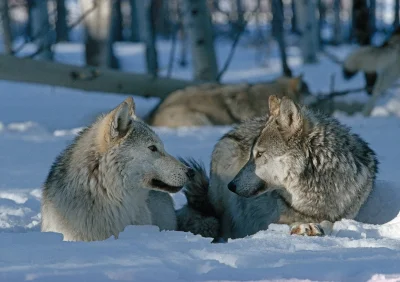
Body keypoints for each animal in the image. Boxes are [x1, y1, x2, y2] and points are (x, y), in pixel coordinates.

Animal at [177, 95, 378, 240]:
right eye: (251, 154)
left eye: (259, 154)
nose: (231, 186)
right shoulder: (271, 220)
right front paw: (302, 227)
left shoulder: (345, 214)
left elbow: (331, 224)